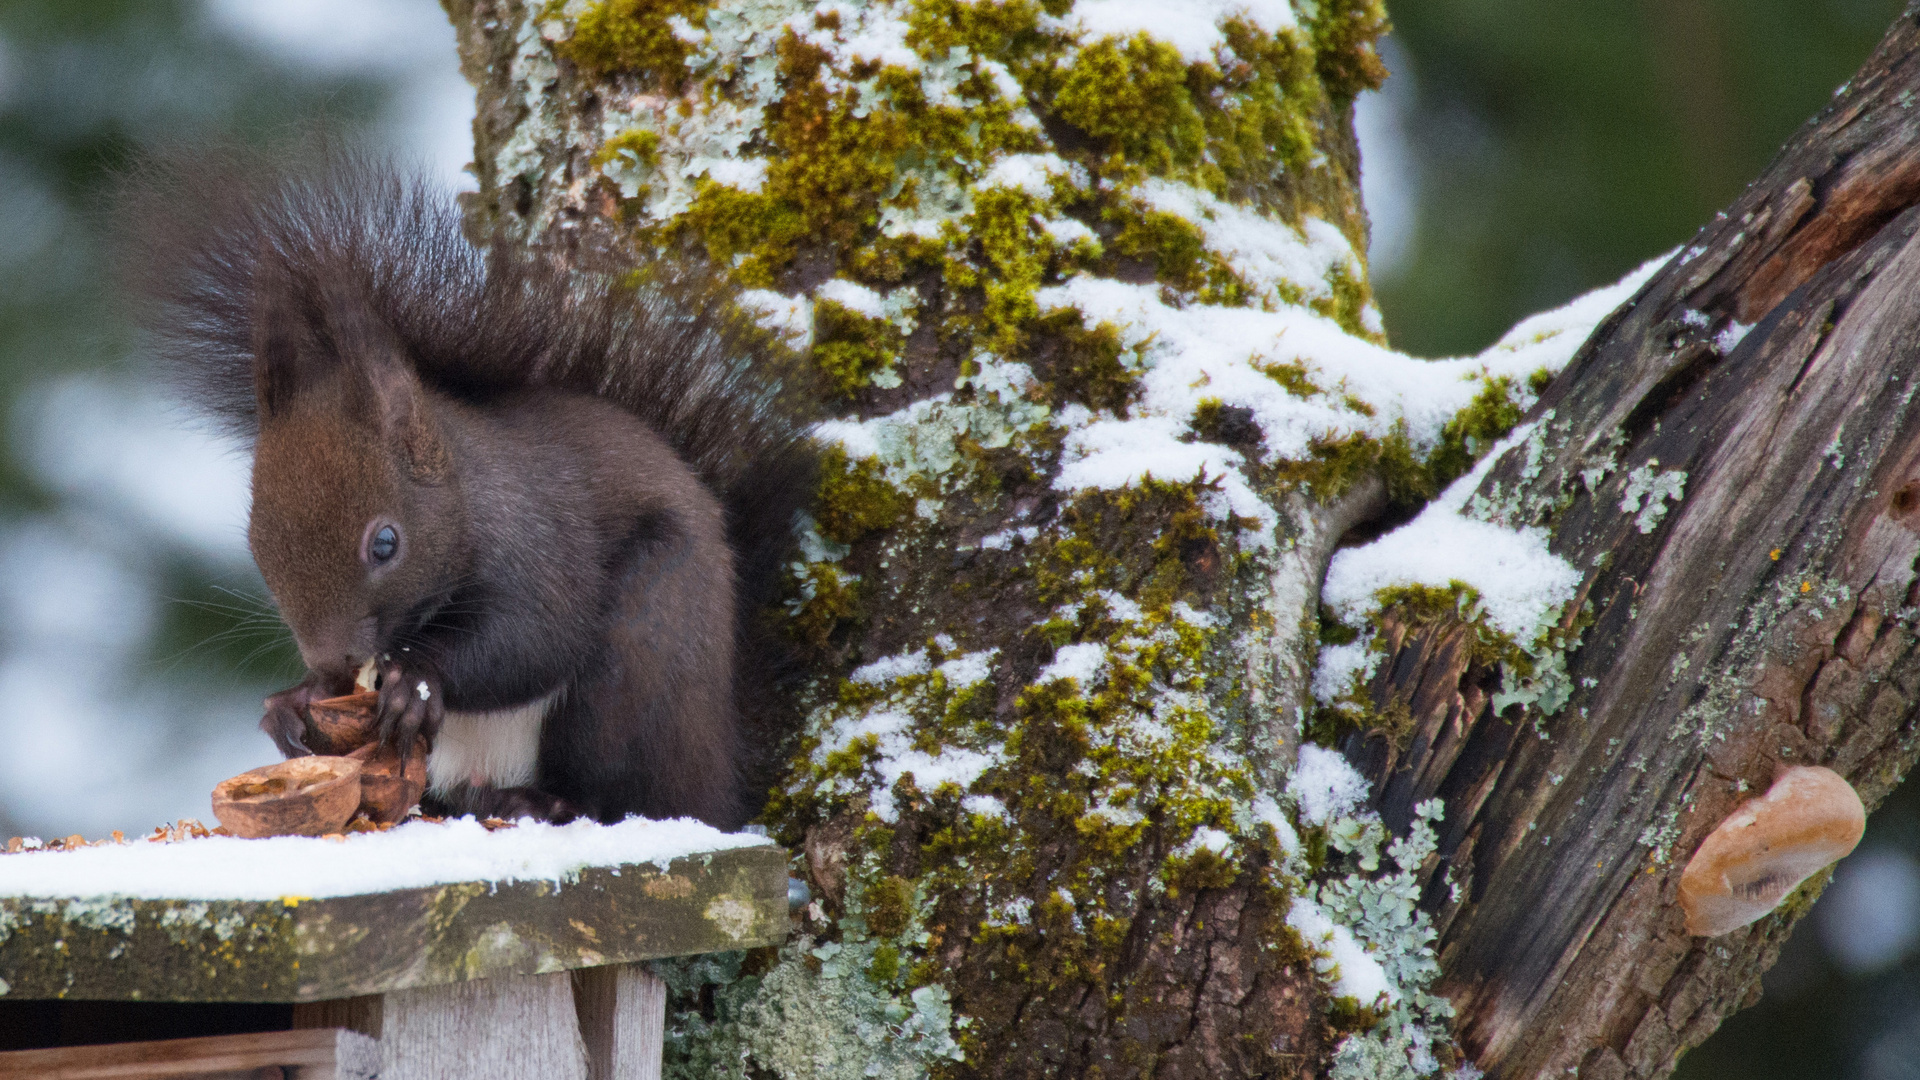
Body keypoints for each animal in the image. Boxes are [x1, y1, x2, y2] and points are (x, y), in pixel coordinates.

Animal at [110, 148, 817, 822]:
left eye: (386, 543)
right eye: (257, 543)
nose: (332, 662)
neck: (466, 496)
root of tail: (723, 766)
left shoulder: (537, 543)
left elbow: (539, 637)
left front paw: (417, 680)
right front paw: (294, 701)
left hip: (642, 652)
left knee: (622, 790)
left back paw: (543, 801)